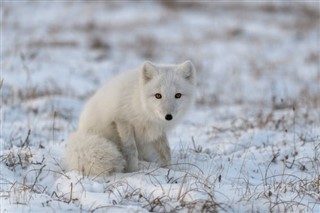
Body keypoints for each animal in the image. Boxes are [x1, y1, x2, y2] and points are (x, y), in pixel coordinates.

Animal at [63, 60, 196, 176]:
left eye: (178, 95)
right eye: (158, 95)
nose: (168, 117)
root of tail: (80, 132)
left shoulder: (158, 131)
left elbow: (166, 151)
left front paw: (169, 169)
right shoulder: (123, 121)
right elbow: (131, 150)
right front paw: (133, 172)